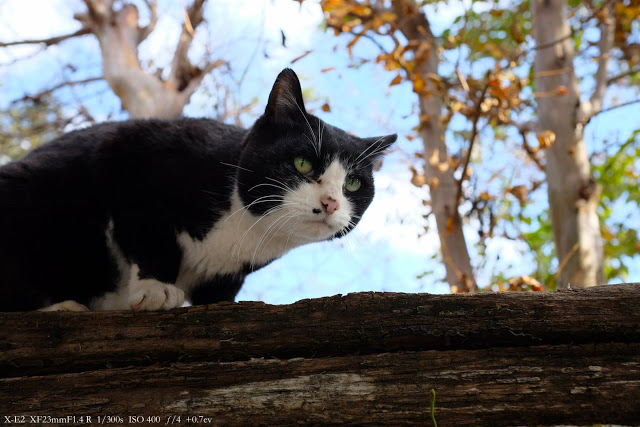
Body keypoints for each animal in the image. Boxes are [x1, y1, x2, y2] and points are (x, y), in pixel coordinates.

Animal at [0, 69, 396, 310]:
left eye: (352, 183)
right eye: (302, 164)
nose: (330, 202)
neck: (241, 228)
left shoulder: (228, 275)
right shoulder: (131, 151)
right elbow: (150, 234)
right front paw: (155, 288)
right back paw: (63, 306)